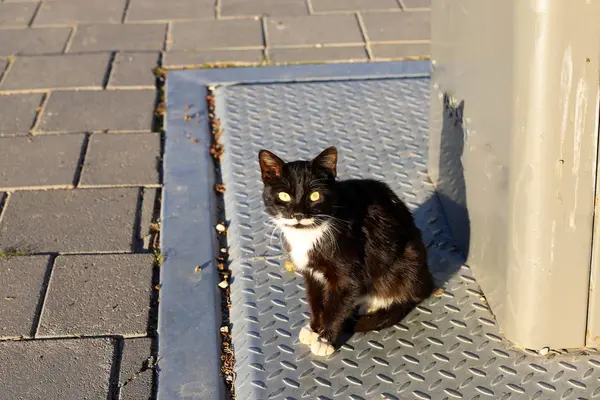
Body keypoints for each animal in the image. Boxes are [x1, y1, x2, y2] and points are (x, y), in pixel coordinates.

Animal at [256, 147, 432, 356]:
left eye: (315, 196)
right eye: (284, 196)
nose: (298, 214)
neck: (309, 234)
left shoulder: (349, 272)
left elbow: (336, 306)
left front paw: (324, 339)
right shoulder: (310, 273)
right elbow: (315, 300)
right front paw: (314, 328)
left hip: (408, 258)